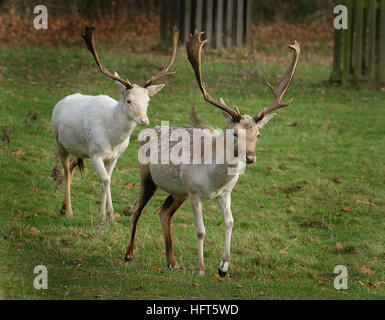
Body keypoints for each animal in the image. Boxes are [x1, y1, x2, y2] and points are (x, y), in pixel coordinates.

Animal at [50, 26, 179, 220]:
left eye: (148, 100)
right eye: (129, 101)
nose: (144, 120)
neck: (112, 139)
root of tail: (60, 102)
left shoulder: (115, 156)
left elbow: (108, 180)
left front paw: (106, 215)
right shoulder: (95, 153)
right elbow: (106, 180)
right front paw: (107, 215)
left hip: (79, 150)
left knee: (72, 167)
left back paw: (64, 207)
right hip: (59, 142)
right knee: (65, 170)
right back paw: (69, 211)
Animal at [124, 33, 298, 278]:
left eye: (258, 133)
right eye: (234, 132)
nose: (250, 158)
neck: (213, 179)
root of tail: (148, 131)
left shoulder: (225, 193)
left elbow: (230, 222)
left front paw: (223, 267)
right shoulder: (195, 193)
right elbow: (200, 230)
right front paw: (201, 268)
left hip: (179, 191)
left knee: (163, 212)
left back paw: (172, 262)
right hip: (147, 176)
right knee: (137, 209)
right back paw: (128, 254)